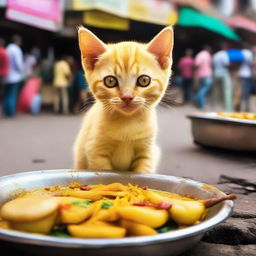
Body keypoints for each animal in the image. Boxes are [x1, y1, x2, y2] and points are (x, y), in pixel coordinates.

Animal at [74, 26, 174, 173]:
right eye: (110, 81)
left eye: (144, 80)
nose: (127, 97)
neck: (127, 124)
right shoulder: (95, 151)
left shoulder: (147, 153)